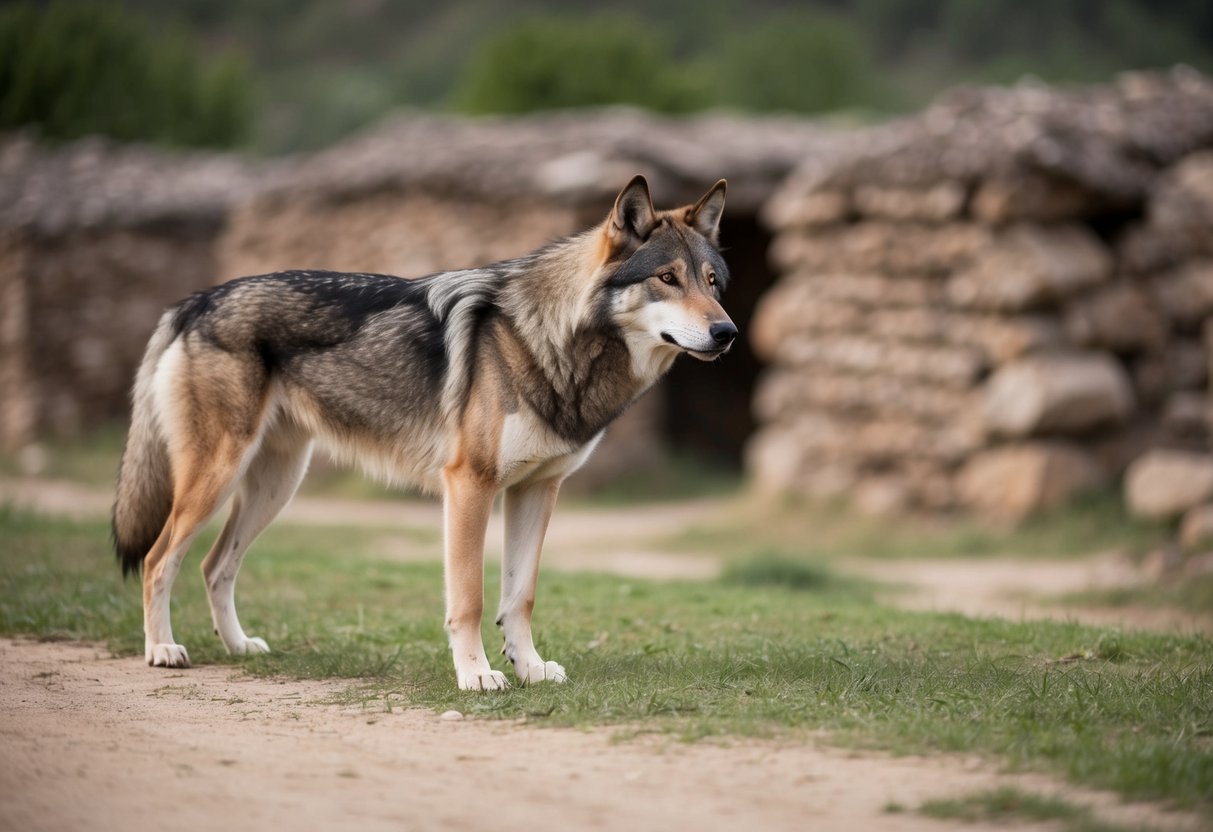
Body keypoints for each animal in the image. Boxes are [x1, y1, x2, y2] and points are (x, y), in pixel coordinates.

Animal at [111, 175, 735, 690]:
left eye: (711, 283)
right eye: (667, 278)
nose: (727, 332)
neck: (547, 340)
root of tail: (197, 300)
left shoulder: (536, 492)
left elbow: (521, 597)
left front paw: (530, 669)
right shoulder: (469, 486)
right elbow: (472, 599)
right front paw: (477, 676)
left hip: (273, 487)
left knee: (215, 565)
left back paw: (239, 647)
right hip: (217, 478)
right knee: (158, 559)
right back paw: (162, 649)